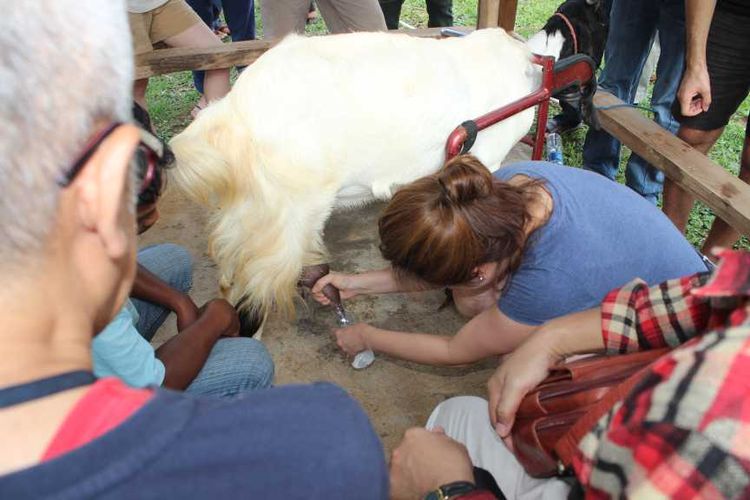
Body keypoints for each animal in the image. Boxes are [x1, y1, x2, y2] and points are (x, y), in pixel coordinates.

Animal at [172, 1, 612, 336]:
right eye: (603, 20)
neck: (532, 69)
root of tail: (232, 113)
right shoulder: (486, 158)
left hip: (246, 210)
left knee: (227, 276)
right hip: (282, 215)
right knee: (251, 289)